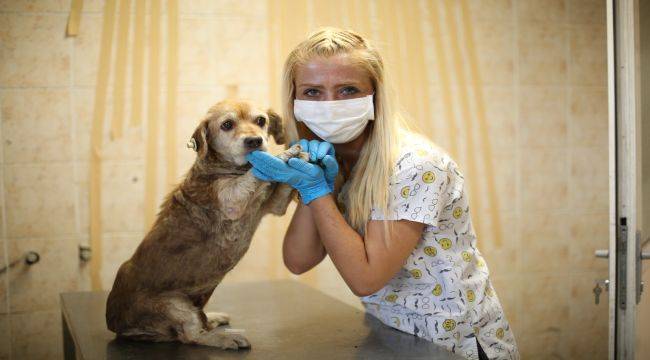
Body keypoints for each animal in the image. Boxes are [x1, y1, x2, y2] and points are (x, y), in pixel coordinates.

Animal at [106, 98, 306, 348]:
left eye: (261, 120)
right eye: (227, 124)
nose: (254, 141)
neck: (230, 169)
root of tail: (115, 323)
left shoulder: (274, 205)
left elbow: (280, 182)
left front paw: (302, 159)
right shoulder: (232, 199)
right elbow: (260, 170)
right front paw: (288, 153)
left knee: (196, 325)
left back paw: (213, 318)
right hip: (175, 305)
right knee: (191, 336)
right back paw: (226, 338)